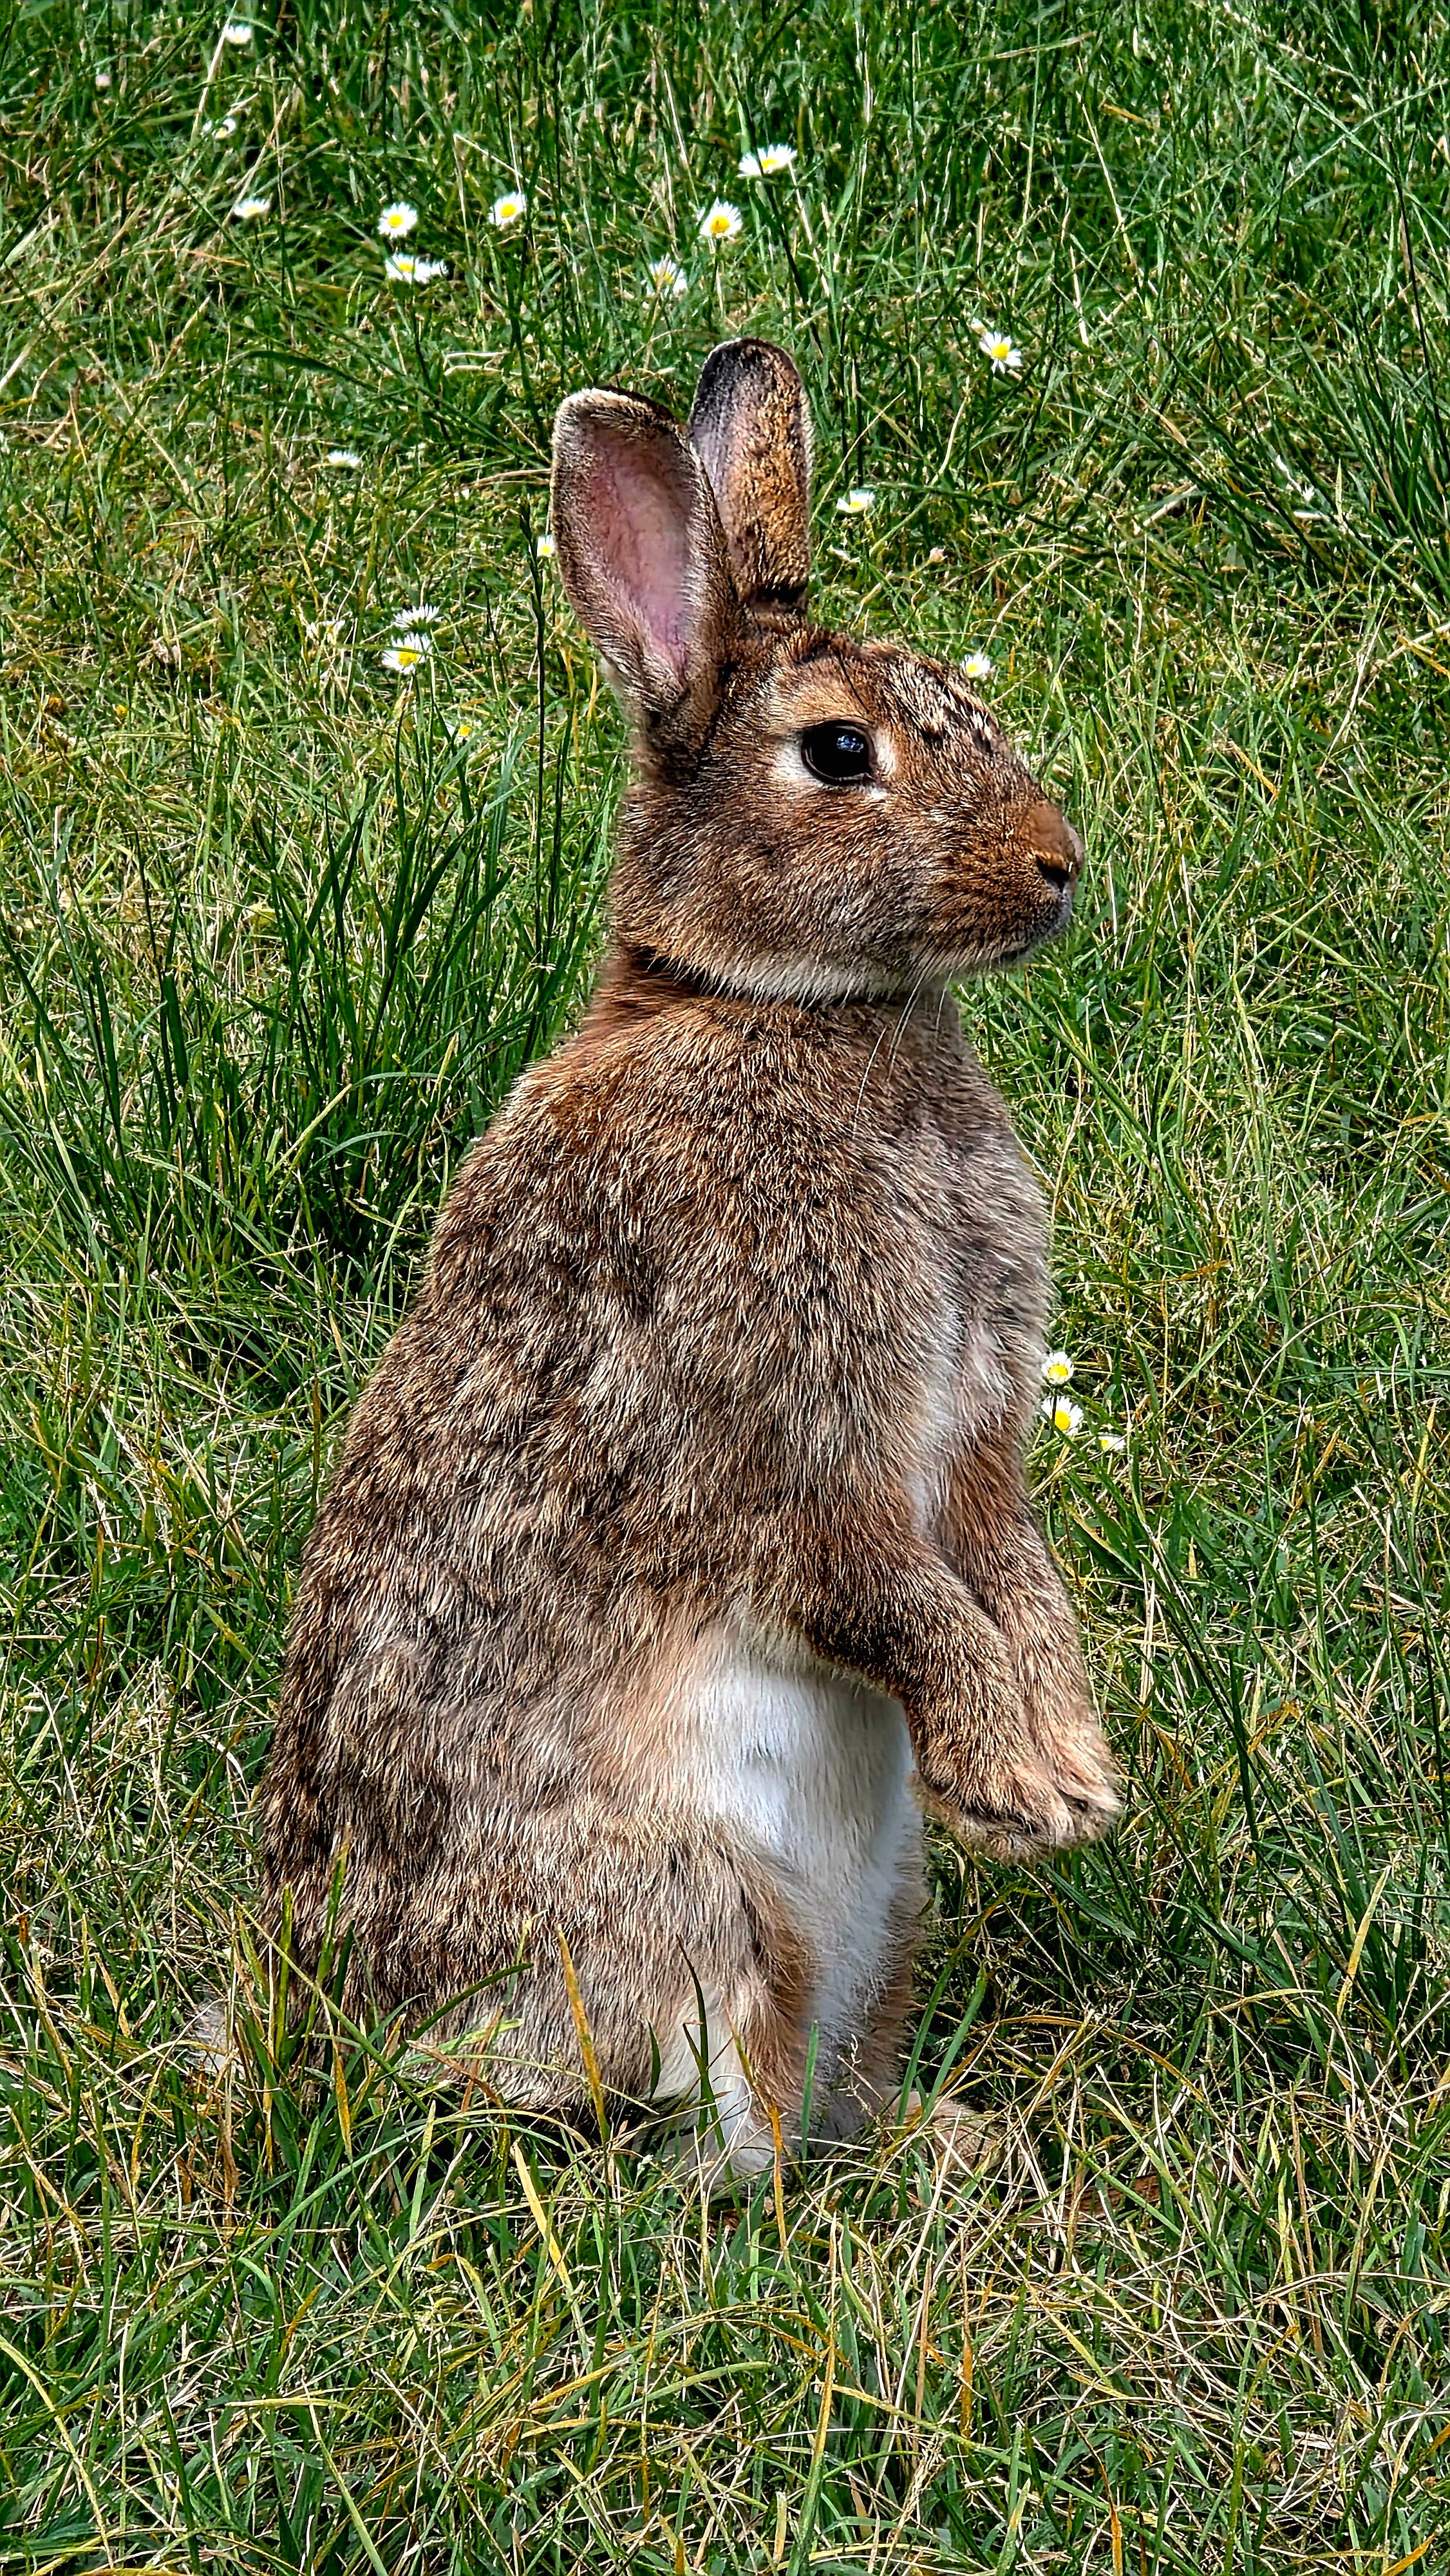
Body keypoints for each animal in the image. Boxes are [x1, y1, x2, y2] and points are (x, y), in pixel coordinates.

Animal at [257, 337, 1120, 2179]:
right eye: (839, 753)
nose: (1056, 868)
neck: (782, 1011)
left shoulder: (977, 1436)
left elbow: (1010, 1570)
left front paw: (1070, 1767)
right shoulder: (788, 1440)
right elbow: (899, 1595)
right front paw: (1022, 1787)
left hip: (879, 1909)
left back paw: (935, 2139)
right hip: (697, 1900)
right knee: (721, 2154)